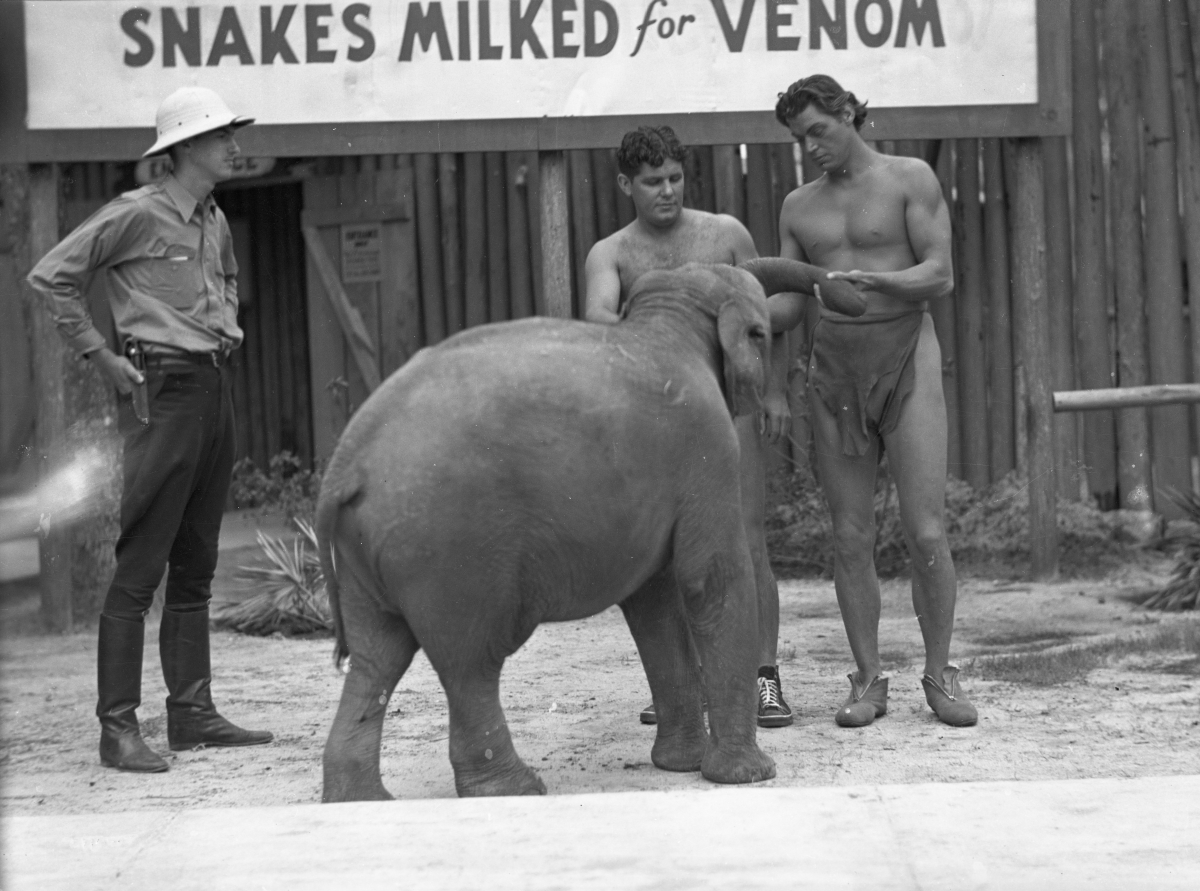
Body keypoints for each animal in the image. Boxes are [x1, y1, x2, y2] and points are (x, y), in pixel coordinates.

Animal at [319, 258, 864, 802]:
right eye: (762, 334)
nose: (850, 290)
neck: (665, 319)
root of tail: (346, 464)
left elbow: (655, 603)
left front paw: (678, 766)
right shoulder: (708, 448)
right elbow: (709, 582)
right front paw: (748, 775)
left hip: (374, 550)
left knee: (376, 657)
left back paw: (362, 803)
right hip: (451, 546)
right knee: (470, 661)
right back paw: (514, 789)